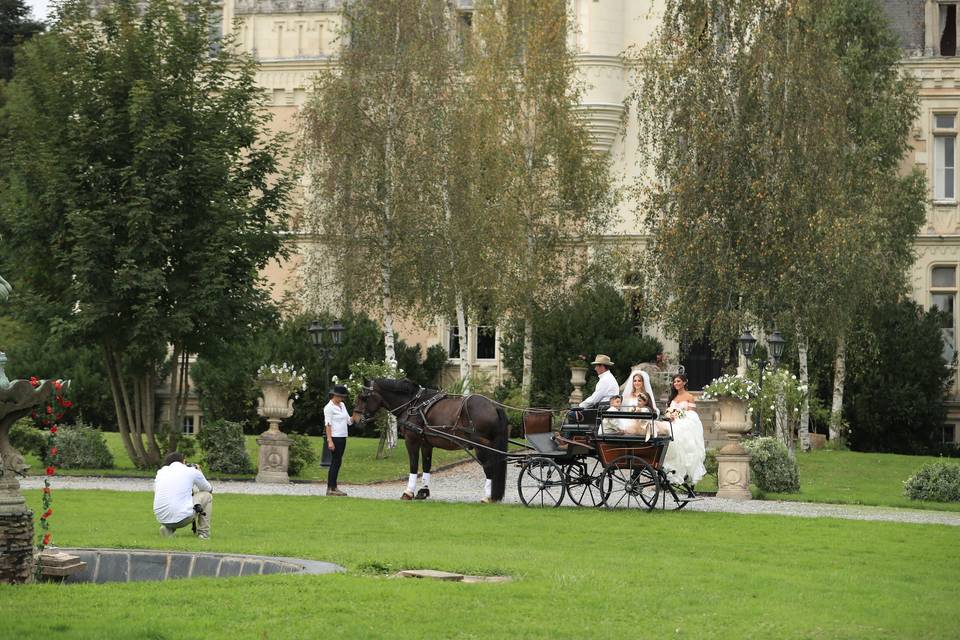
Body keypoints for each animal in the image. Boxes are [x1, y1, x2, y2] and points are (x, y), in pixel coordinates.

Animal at [352, 378, 510, 502]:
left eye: (363, 397)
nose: (355, 420)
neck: (412, 404)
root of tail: (494, 406)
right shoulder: (426, 444)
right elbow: (426, 466)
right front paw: (423, 491)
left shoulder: (412, 441)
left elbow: (414, 465)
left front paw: (408, 492)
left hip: (480, 446)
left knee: (489, 467)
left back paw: (488, 497)